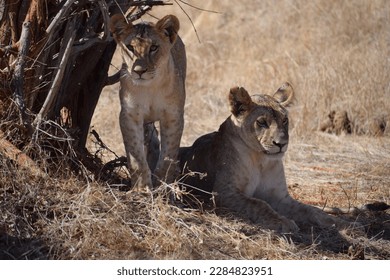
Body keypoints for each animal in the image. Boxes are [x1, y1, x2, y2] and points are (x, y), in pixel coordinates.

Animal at [109, 13, 187, 188]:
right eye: (130, 47)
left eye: (153, 48)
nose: (139, 71)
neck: (150, 87)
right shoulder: (130, 116)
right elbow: (136, 158)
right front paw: (142, 189)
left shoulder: (173, 116)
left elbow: (167, 158)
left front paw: (162, 187)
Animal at [178, 83, 352, 232]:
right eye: (262, 122)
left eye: (285, 120)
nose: (281, 143)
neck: (260, 159)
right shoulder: (224, 192)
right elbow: (259, 204)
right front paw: (283, 222)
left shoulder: (280, 197)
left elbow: (310, 209)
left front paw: (340, 223)